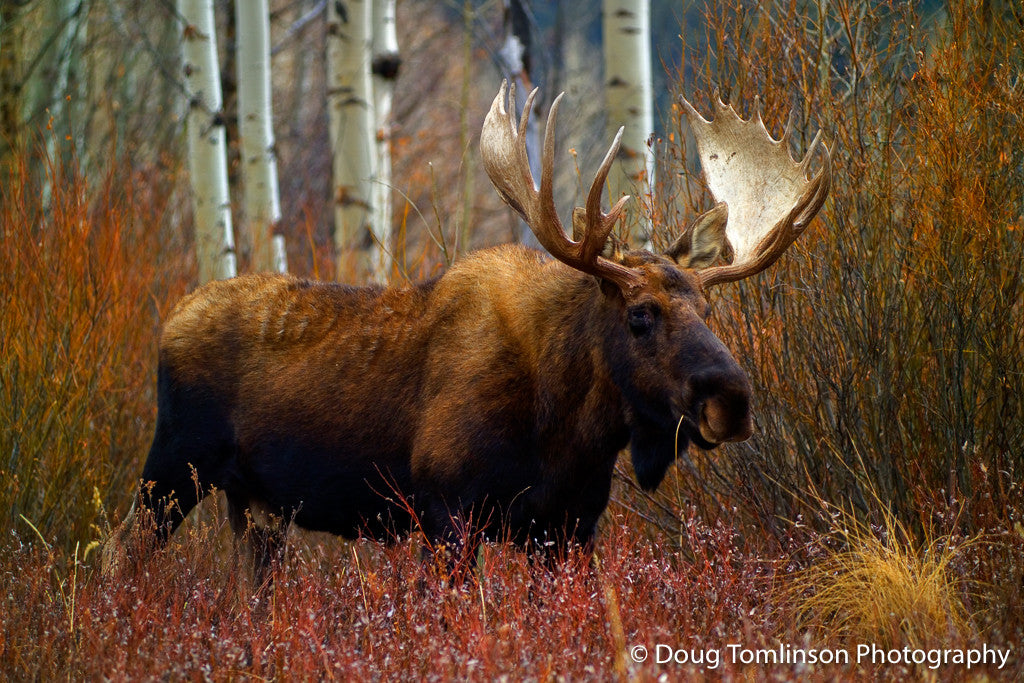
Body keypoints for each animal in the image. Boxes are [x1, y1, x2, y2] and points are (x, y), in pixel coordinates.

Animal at [103, 82, 830, 579]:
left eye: (708, 310)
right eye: (640, 313)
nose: (731, 399)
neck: (571, 428)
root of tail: (170, 321)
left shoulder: (567, 527)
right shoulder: (447, 513)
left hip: (255, 508)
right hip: (172, 467)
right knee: (116, 555)